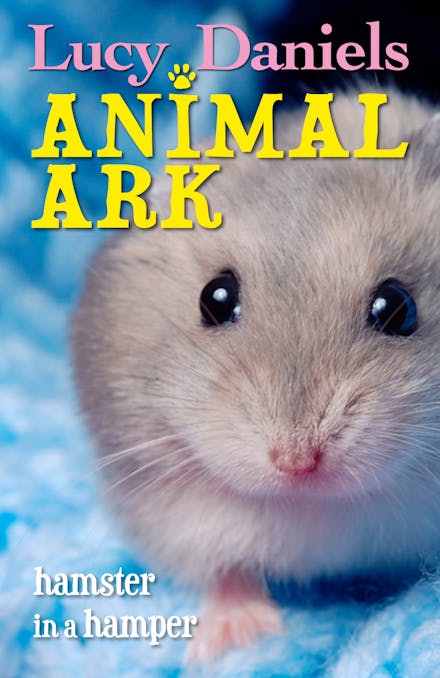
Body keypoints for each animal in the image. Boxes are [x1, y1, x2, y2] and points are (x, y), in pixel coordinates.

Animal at [71, 89, 440, 661]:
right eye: (216, 298)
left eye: (397, 307)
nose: (297, 462)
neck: (316, 508)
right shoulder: (177, 513)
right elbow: (226, 571)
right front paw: (239, 640)